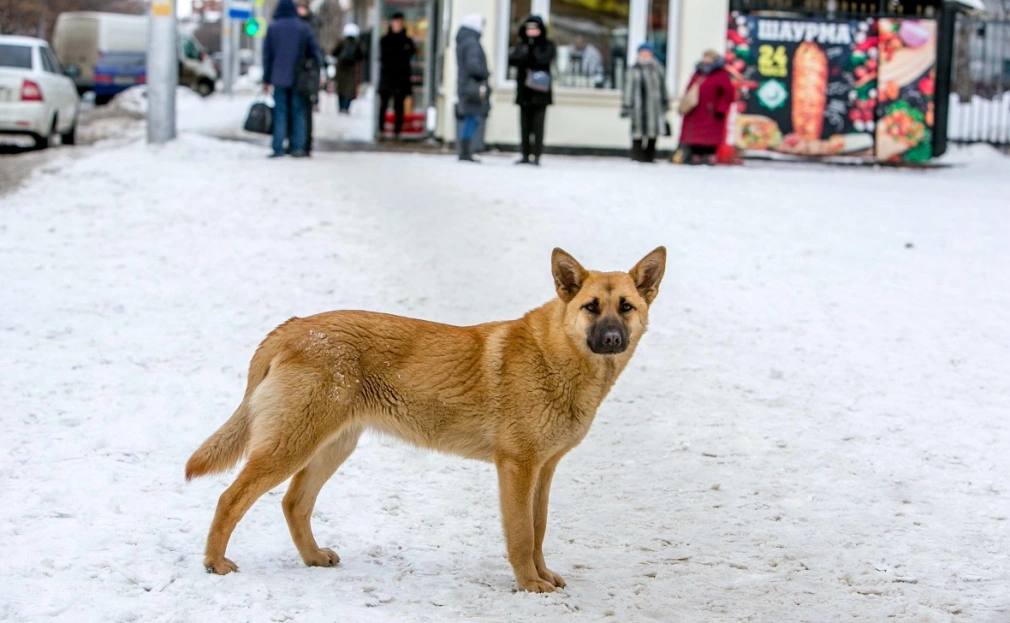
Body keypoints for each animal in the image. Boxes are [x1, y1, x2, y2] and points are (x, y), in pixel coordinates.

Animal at [185, 245, 666, 589]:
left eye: (626, 307)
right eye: (591, 307)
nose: (611, 338)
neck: (557, 358)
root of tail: (293, 326)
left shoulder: (543, 470)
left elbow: (539, 528)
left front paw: (542, 575)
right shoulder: (517, 467)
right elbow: (521, 535)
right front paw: (530, 584)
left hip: (331, 446)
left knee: (293, 503)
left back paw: (313, 558)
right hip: (291, 444)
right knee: (230, 498)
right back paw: (214, 563)